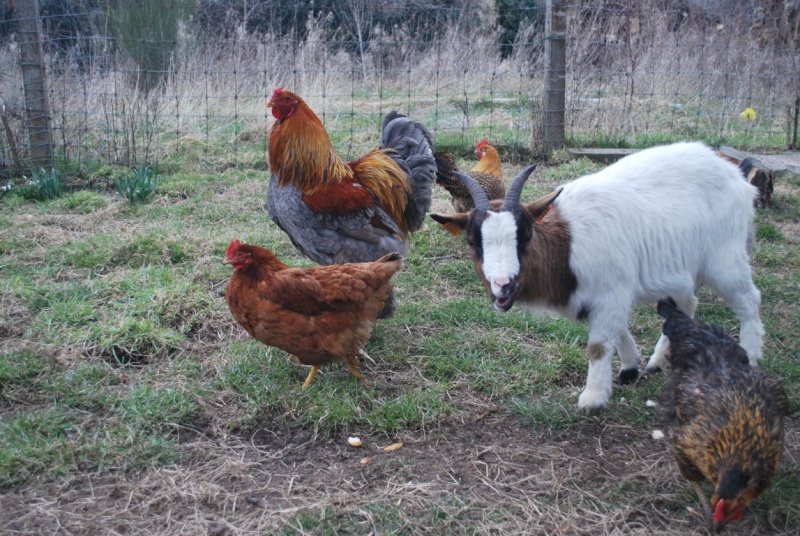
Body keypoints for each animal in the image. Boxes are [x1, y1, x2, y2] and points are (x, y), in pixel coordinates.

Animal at [434, 140, 764, 408]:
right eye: (473, 241)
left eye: (526, 236)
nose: (503, 285)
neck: (566, 245)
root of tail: (736, 175)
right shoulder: (602, 298)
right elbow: (618, 330)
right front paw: (631, 368)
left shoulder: (611, 291)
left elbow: (598, 346)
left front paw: (592, 398)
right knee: (687, 303)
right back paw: (658, 361)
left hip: (724, 259)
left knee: (748, 299)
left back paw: (750, 358)